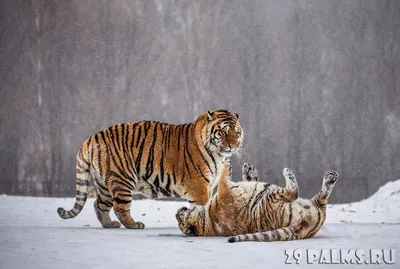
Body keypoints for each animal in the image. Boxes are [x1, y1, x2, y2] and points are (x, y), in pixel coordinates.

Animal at [57, 109, 244, 228]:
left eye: (236, 132)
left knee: (99, 204)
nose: (233, 146)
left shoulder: (208, 186)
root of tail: (90, 139)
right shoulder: (199, 188)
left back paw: (109, 224)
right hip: (123, 179)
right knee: (120, 207)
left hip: (105, 184)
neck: (218, 155)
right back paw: (134, 225)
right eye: (223, 131)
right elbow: (205, 208)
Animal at [175, 158, 338, 242]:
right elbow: (222, 178)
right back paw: (289, 173)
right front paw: (227, 162)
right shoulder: (226, 191)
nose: (177, 212)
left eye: (179, 218)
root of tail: (301, 226)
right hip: (272, 199)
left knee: (321, 198)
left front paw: (249, 170)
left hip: (316, 208)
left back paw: (331, 176)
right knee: (292, 191)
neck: (206, 219)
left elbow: (248, 180)